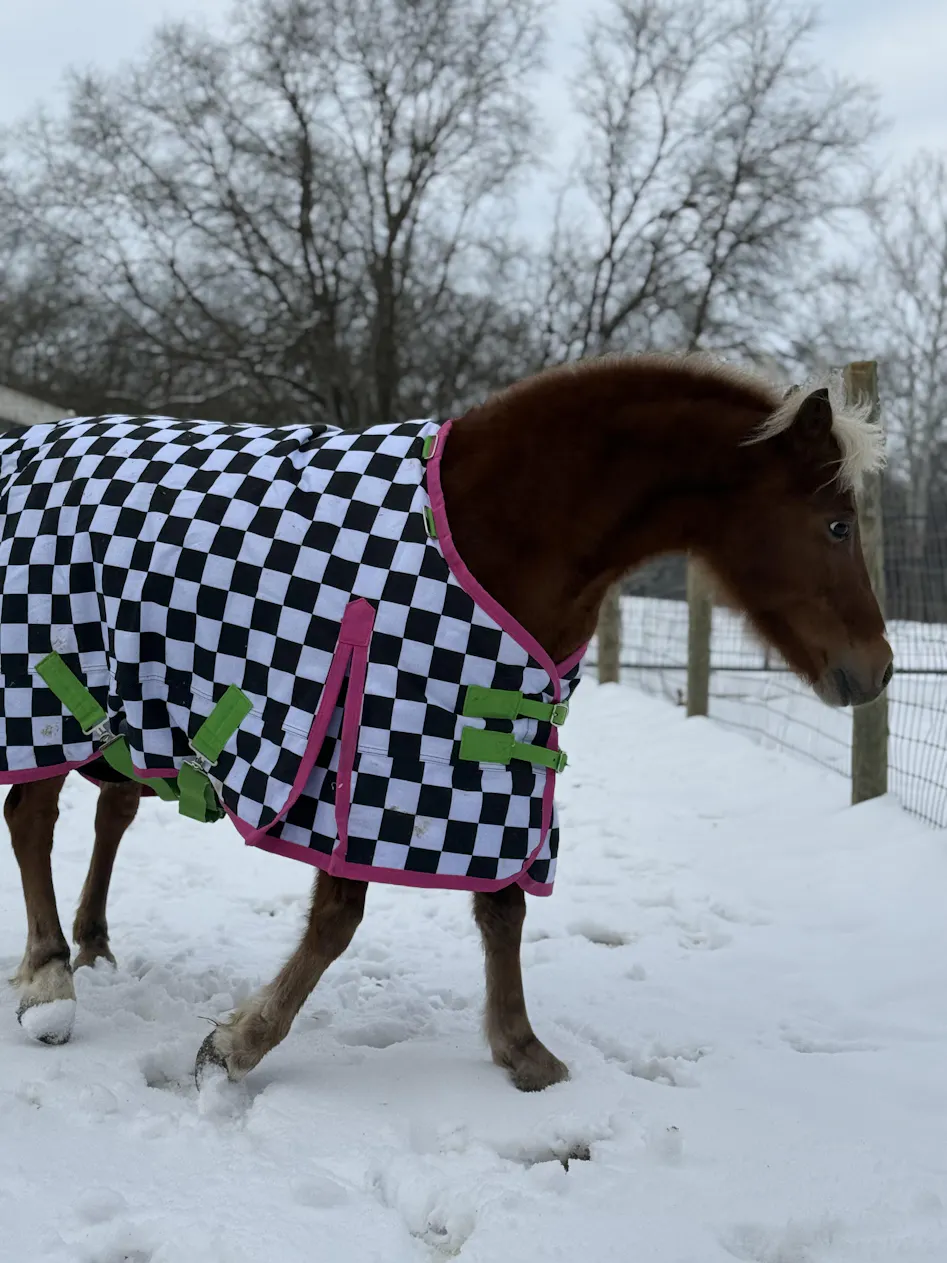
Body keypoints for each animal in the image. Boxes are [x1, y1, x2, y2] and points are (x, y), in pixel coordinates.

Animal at [3, 353, 893, 1092]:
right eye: (836, 523)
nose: (878, 668)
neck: (500, 518)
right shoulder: (371, 747)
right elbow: (337, 918)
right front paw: (238, 1044)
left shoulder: (495, 748)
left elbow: (503, 905)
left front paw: (522, 1049)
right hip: (49, 688)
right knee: (32, 811)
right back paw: (49, 980)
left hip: (126, 711)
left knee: (105, 811)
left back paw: (90, 946)